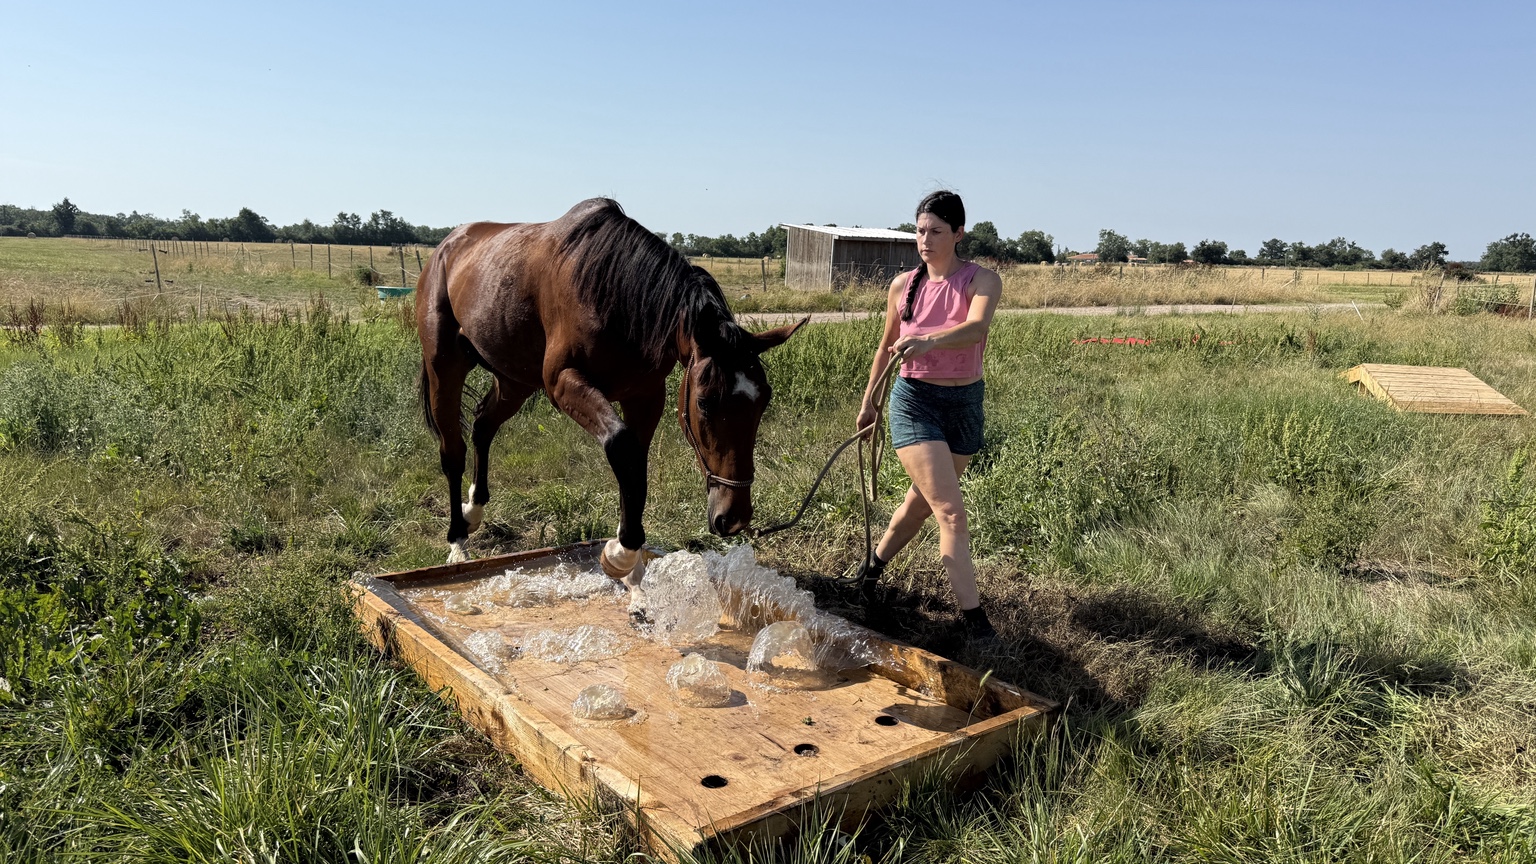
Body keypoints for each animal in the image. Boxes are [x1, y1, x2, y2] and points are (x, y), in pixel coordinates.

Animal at [415, 198, 805, 584]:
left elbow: (634, 465)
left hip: (515, 380)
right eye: (705, 403)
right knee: (453, 451)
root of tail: (447, 246)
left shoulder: (645, 397)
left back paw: (473, 510)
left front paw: (626, 549)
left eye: (763, 401)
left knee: (483, 425)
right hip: (444, 368)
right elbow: (621, 445)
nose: (734, 517)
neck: (614, 295)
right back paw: (457, 541)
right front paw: (622, 551)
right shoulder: (563, 383)